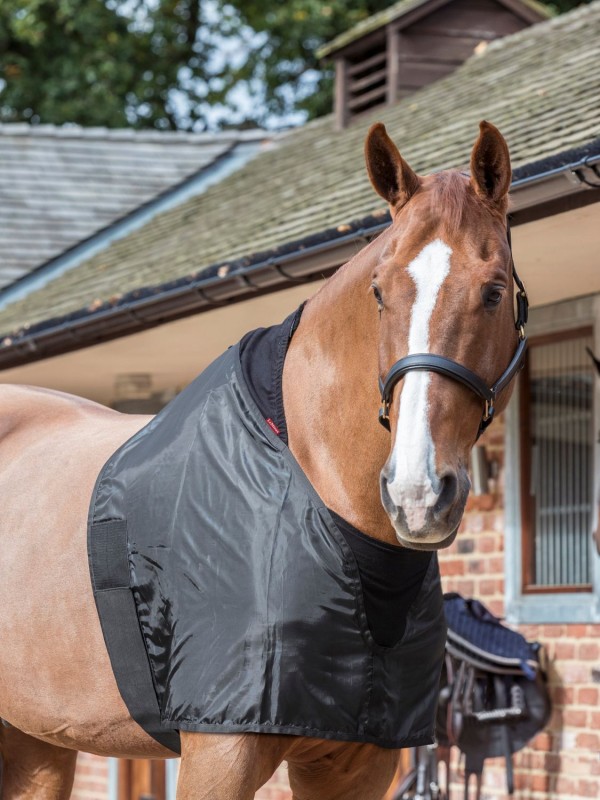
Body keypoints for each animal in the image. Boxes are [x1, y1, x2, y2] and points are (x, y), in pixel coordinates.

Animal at [0, 120, 524, 799]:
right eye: (380, 293)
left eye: (493, 291)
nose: (417, 494)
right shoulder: (218, 754)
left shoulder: (358, 766)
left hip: (37, 743)